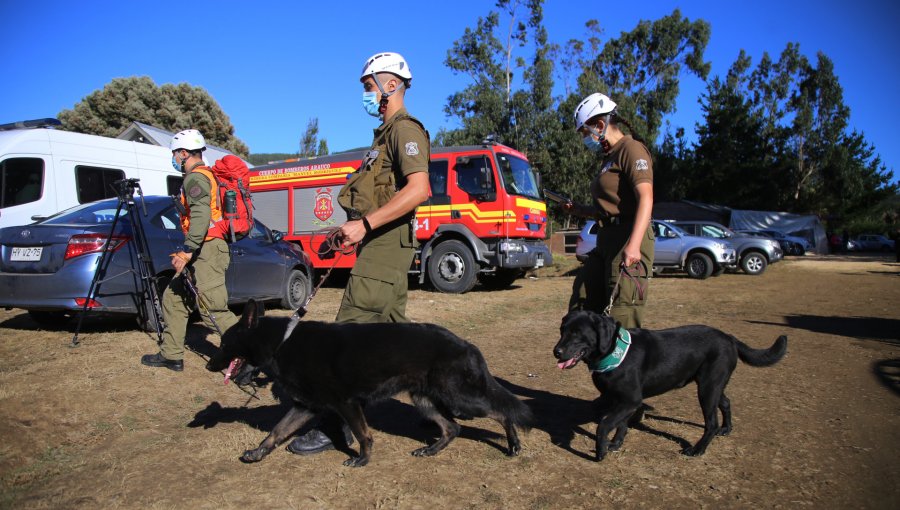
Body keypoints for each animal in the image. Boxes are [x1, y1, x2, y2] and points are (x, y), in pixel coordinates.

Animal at [207, 300, 532, 468]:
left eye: (224, 343)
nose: (208, 365)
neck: (282, 342)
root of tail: (465, 343)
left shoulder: (346, 404)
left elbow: (364, 435)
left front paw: (362, 460)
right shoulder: (305, 408)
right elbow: (275, 432)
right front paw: (257, 453)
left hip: (459, 397)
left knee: (502, 412)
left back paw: (514, 444)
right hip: (425, 401)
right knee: (453, 428)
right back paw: (430, 451)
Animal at [552, 308, 784, 460]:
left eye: (577, 333)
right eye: (562, 330)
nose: (556, 352)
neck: (613, 352)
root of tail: (729, 337)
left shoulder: (630, 400)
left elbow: (604, 425)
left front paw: (601, 452)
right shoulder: (622, 402)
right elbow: (621, 425)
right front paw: (616, 444)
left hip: (707, 389)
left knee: (711, 423)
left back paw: (697, 450)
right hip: (713, 384)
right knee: (726, 403)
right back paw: (727, 429)